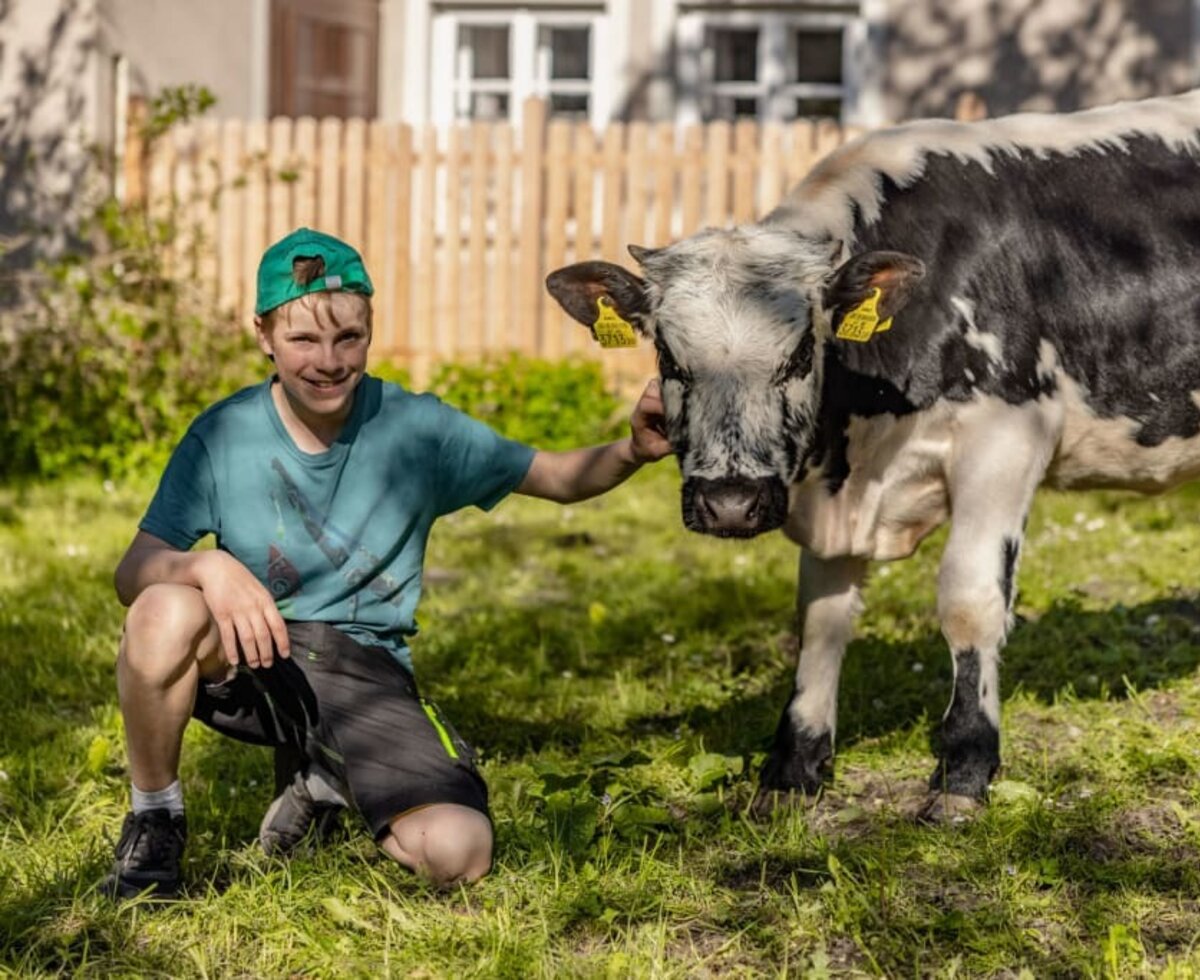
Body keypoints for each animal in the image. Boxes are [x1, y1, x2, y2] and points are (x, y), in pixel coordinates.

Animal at [547, 89, 1200, 820]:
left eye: (800, 353)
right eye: (667, 355)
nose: (731, 503)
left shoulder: (1007, 437)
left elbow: (969, 601)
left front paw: (963, 770)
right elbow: (821, 616)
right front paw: (794, 766)